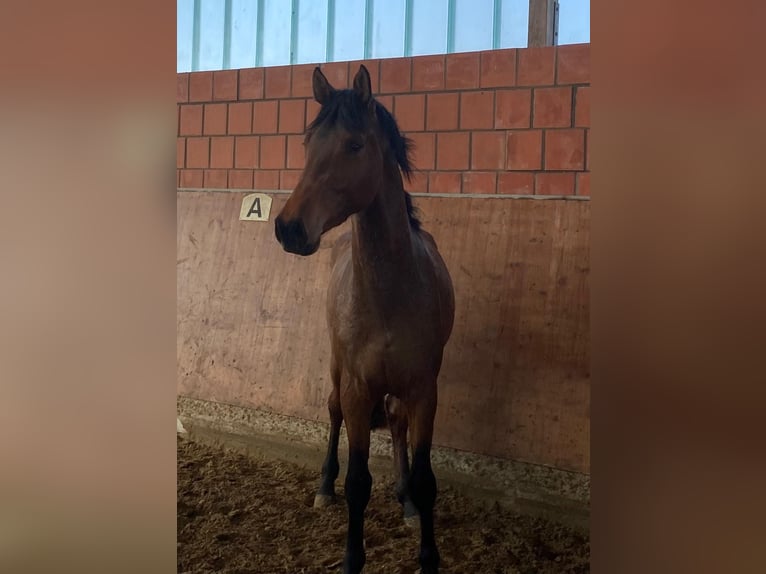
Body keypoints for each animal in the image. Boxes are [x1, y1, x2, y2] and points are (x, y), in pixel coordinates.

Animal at [274, 64, 455, 574]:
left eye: (354, 145)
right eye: (307, 142)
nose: (289, 228)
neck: (390, 290)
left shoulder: (424, 389)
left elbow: (425, 477)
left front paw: (427, 553)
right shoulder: (357, 389)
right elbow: (357, 482)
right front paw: (352, 558)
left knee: (395, 423)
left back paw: (405, 501)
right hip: (338, 370)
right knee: (332, 410)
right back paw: (323, 488)